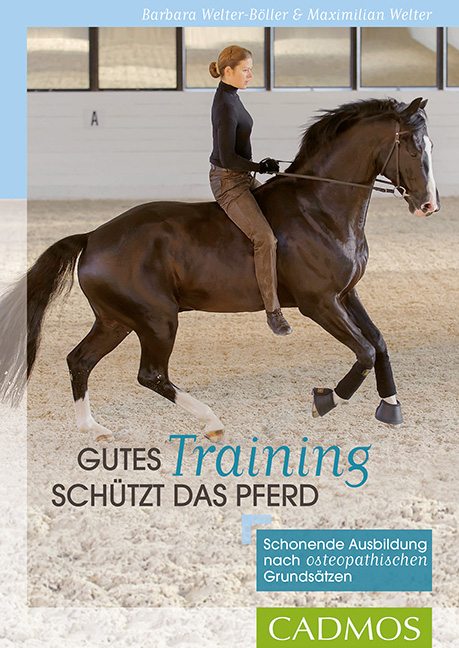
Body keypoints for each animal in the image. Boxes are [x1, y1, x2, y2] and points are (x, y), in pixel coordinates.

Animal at [0, 97, 439, 442]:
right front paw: (326, 399)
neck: (320, 206)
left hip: (116, 321)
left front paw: (390, 407)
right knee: (150, 374)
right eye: (412, 147)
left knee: (80, 361)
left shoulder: (347, 294)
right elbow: (364, 351)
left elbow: (379, 343)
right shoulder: (320, 303)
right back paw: (212, 421)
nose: (429, 205)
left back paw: (94, 429)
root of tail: (92, 237)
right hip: (157, 320)